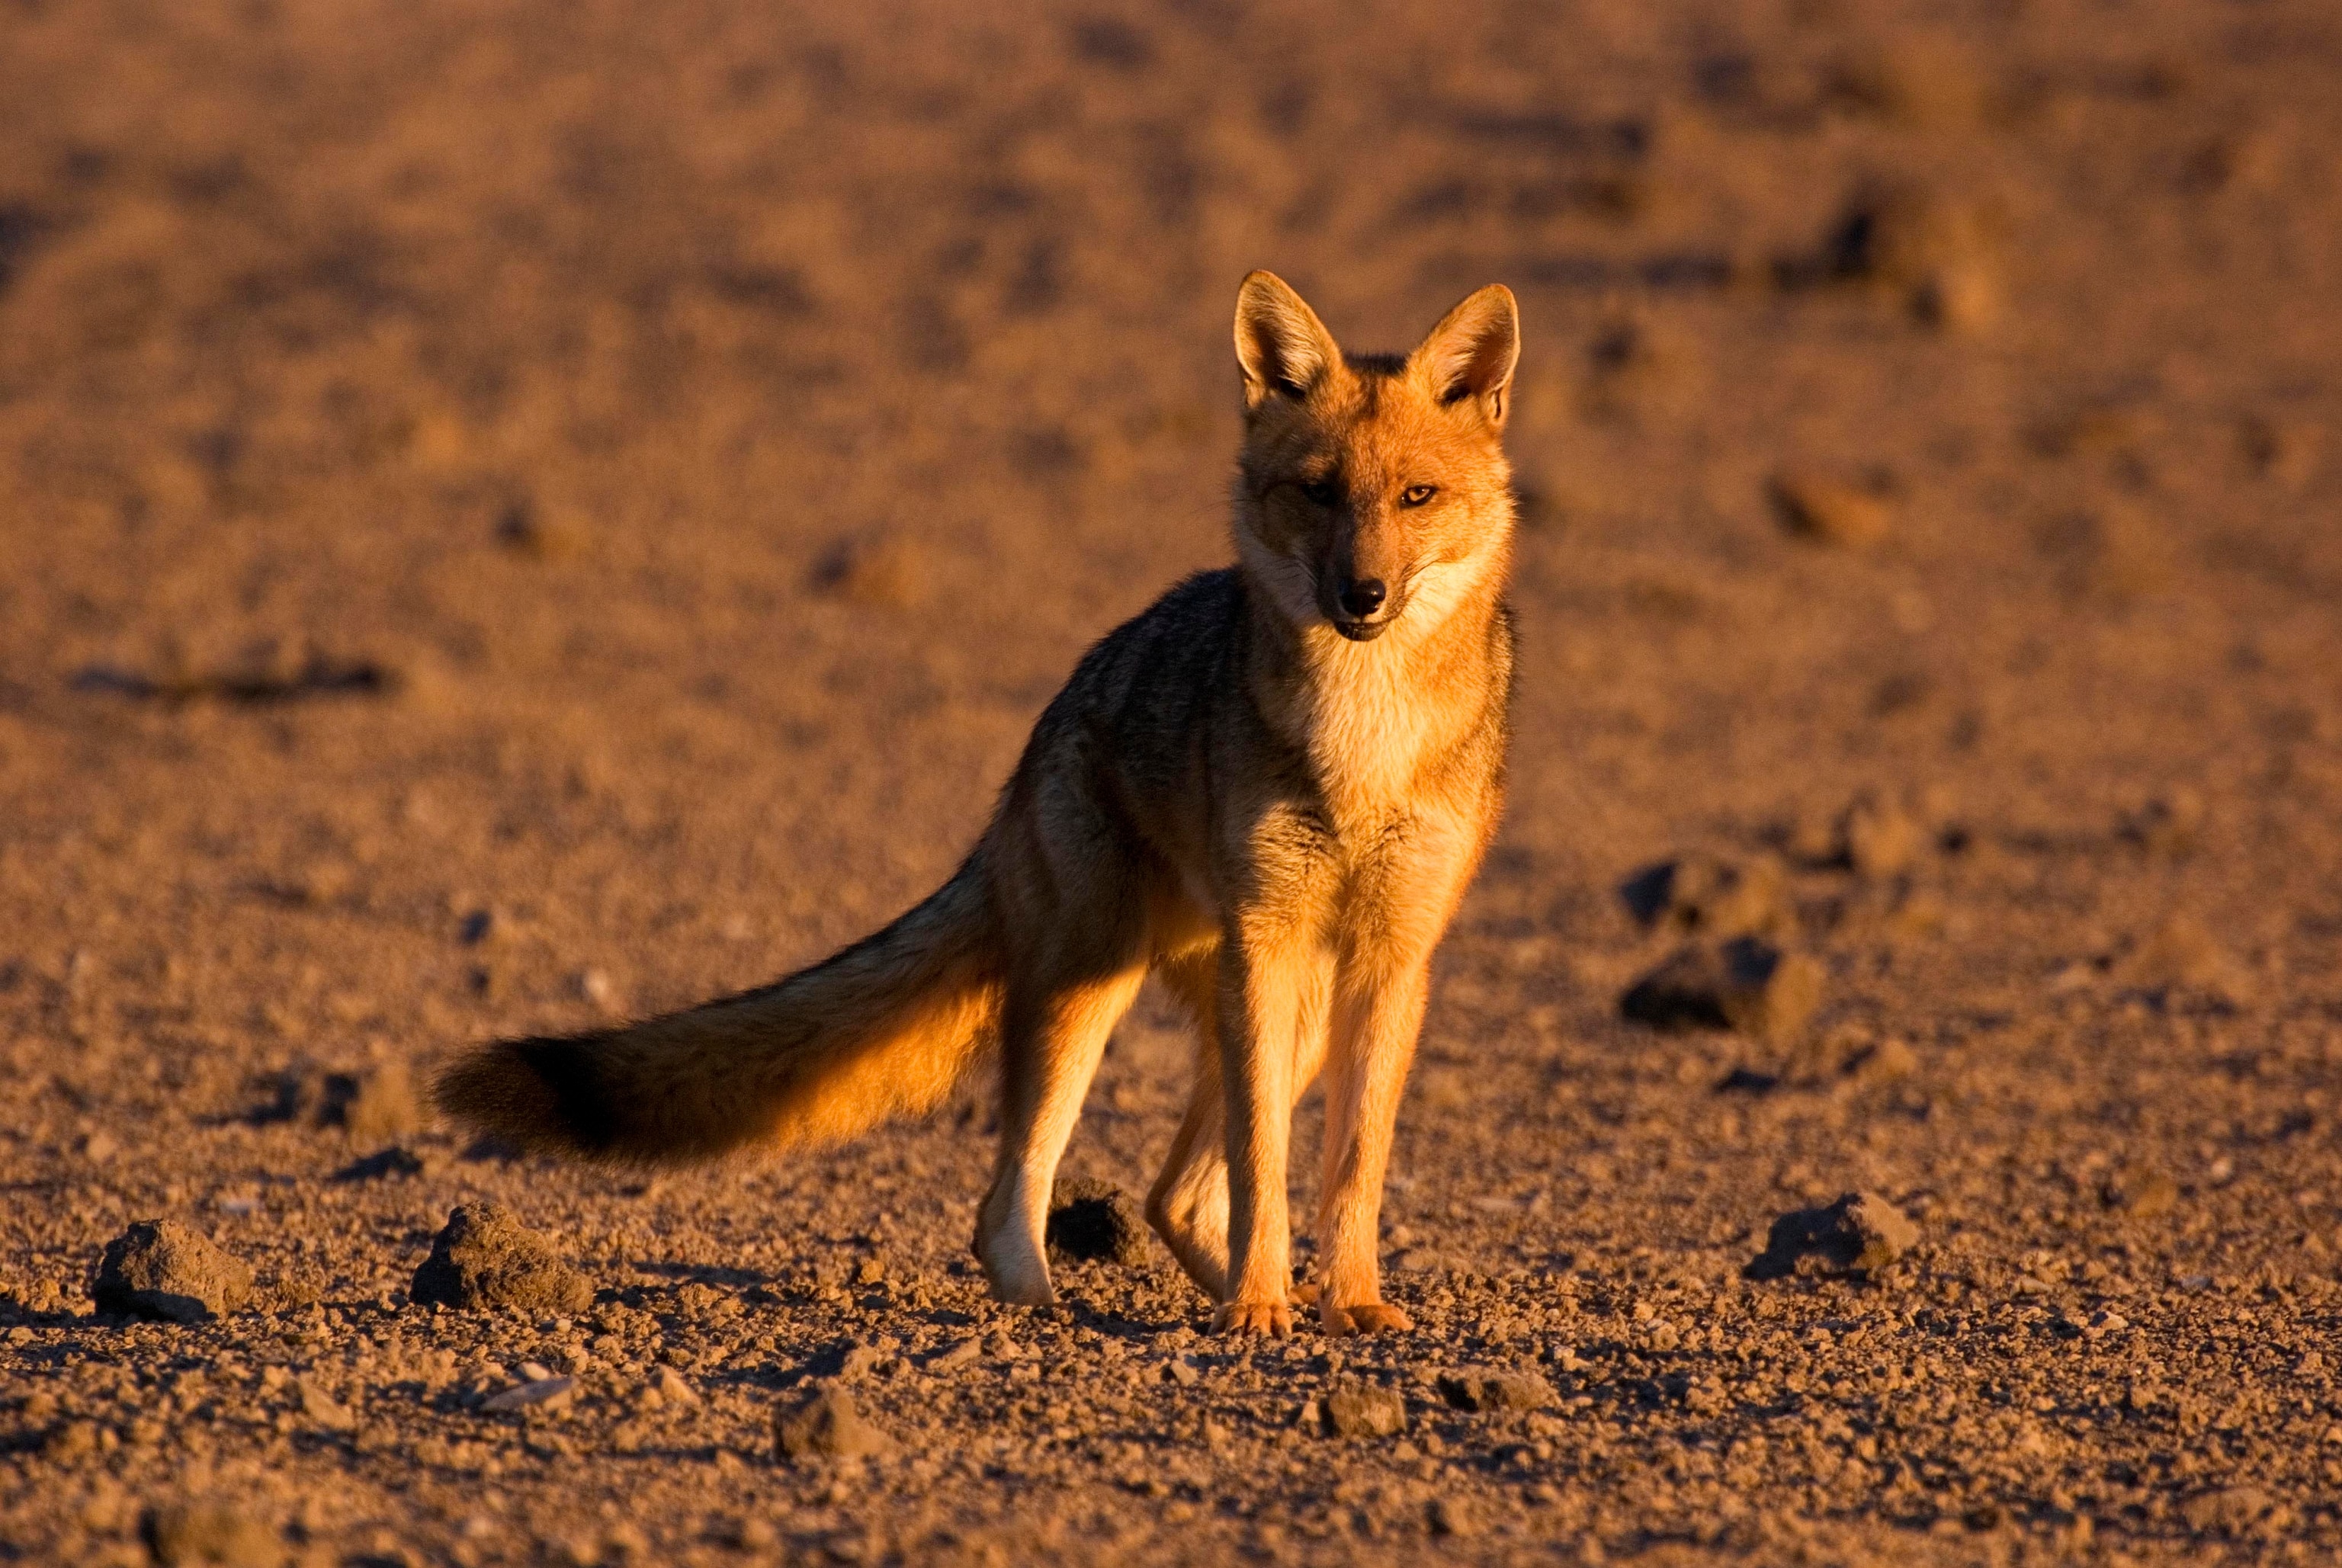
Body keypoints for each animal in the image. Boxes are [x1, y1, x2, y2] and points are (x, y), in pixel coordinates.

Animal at [437, 271, 1521, 1337]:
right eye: (1317, 492)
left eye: (1416, 496)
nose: (1362, 595)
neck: (1362, 743)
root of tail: (1050, 720)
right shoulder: (1269, 941)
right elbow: (1267, 1166)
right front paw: (1261, 1311)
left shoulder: (1394, 957)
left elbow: (1353, 1165)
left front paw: (1351, 1302)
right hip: (1103, 987)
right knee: (1017, 1197)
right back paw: (1059, 1312)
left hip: (1280, 1006)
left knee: (1173, 1192)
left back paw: (1257, 1292)